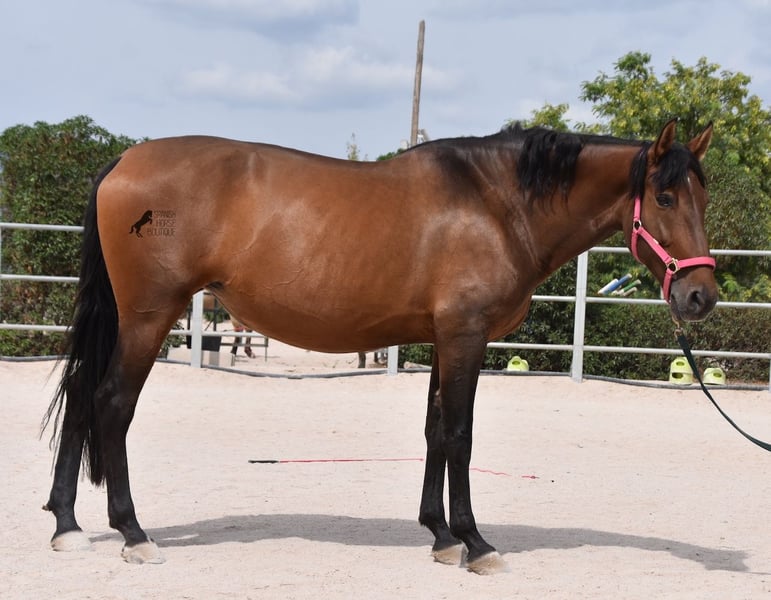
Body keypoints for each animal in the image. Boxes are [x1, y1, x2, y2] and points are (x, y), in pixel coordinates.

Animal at [41, 119, 717, 574]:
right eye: (663, 197)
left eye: (703, 198)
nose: (700, 296)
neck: (494, 204)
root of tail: (123, 161)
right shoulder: (466, 335)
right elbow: (461, 435)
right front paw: (476, 544)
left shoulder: (445, 339)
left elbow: (435, 431)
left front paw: (440, 536)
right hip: (149, 317)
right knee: (111, 404)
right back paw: (133, 534)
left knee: (80, 397)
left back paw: (67, 525)